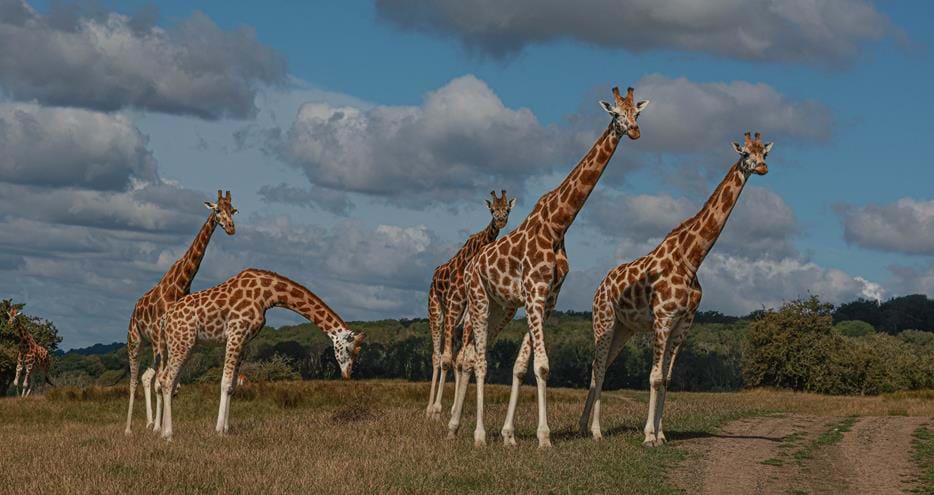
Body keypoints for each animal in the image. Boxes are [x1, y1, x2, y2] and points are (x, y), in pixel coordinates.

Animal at [124, 190, 237, 435]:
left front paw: (159, 426)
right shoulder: (160, 337)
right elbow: (161, 383)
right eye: (217, 210)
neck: (180, 284)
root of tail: (134, 309)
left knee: (149, 376)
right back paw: (129, 429)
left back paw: (149, 423)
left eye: (233, 210)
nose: (231, 228)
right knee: (135, 380)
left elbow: (171, 384)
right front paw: (160, 428)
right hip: (135, 340)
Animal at [156, 268, 365, 440]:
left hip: (185, 345)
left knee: (168, 380)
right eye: (348, 349)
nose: (347, 374)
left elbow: (232, 386)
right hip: (182, 342)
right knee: (166, 379)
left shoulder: (244, 340)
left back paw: (164, 432)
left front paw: (226, 429)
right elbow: (225, 383)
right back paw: (168, 434)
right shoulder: (236, 333)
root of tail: (165, 319)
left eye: (358, 353)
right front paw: (218, 431)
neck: (268, 294)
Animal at [426, 190, 516, 420]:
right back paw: (429, 409)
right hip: (436, 312)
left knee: (455, 357)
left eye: (507, 209)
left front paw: (454, 409)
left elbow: (459, 360)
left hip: (457, 322)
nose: (501, 220)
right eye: (492, 209)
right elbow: (446, 359)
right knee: (437, 356)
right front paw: (437, 410)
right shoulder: (453, 307)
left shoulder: (467, 313)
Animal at [447, 87, 649, 448]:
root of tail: (470, 267)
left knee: (469, 357)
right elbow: (541, 365)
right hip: (480, 300)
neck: (558, 225)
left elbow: (522, 365)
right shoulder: (534, 292)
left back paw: (456, 427)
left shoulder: (548, 299)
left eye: (637, 114)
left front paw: (510, 435)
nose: (635, 132)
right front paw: (544, 437)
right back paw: (478, 434)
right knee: (478, 360)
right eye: (615, 114)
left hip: (501, 307)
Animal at [580, 132, 774, 446]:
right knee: (598, 367)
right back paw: (596, 431)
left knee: (602, 368)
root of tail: (599, 286)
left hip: (624, 328)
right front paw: (649, 436)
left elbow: (668, 379)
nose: (762, 168)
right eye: (745, 154)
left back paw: (583, 427)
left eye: (765, 154)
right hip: (604, 320)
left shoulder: (684, 323)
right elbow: (655, 376)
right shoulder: (663, 318)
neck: (691, 259)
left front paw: (662, 434)